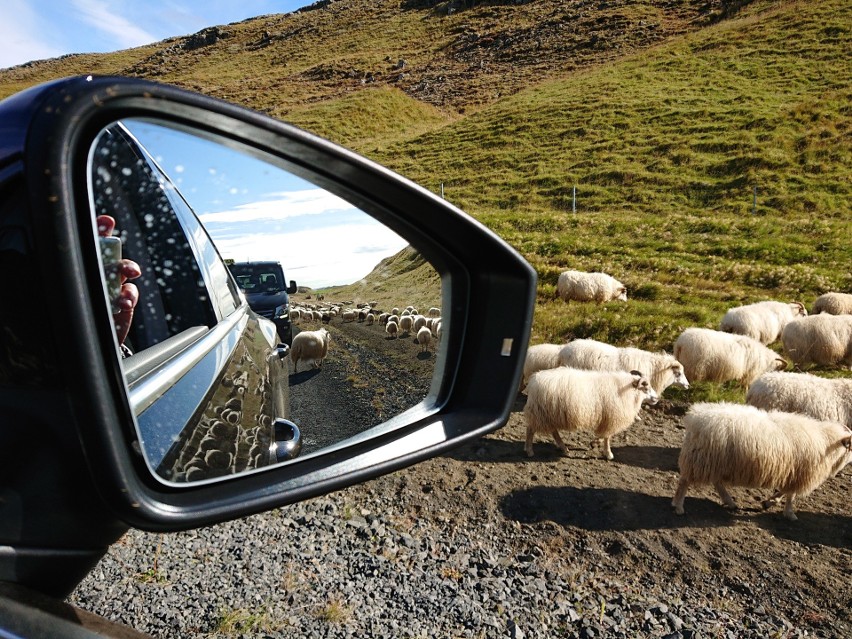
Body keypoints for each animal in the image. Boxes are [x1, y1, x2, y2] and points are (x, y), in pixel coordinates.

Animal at [520, 368, 660, 462]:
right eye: (645, 388)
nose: (657, 398)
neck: (626, 391)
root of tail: (534, 381)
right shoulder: (611, 416)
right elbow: (607, 436)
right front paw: (608, 454)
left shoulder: (607, 417)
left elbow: (604, 435)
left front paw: (594, 443)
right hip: (541, 412)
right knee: (530, 430)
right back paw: (530, 451)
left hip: (550, 414)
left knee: (553, 431)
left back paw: (564, 449)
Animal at [672, 402, 852, 524]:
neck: (827, 442)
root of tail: (696, 417)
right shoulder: (800, 474)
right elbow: (791, 496)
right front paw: (790, 513)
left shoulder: (793, 473)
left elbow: (784, 492)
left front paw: (769, 502)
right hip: (700, 460)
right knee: (684, 482)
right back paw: (679, 506)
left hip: (716, 462)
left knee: (717, 483)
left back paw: (730, 502)